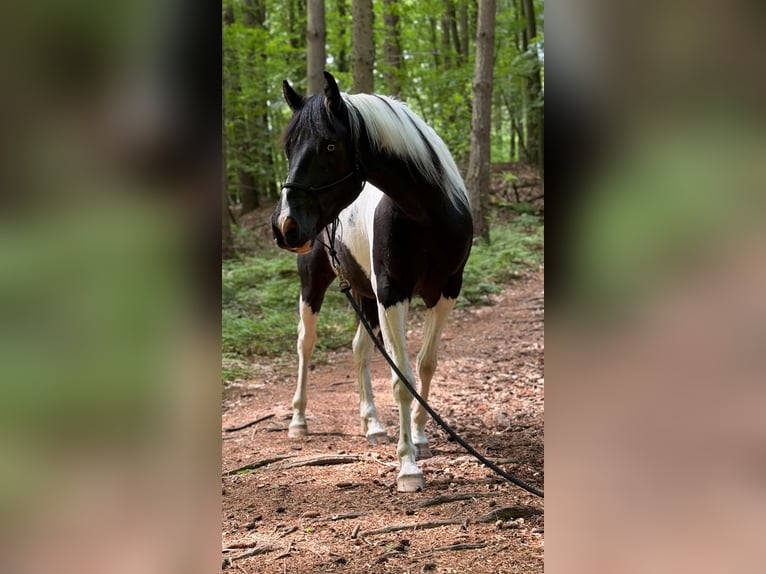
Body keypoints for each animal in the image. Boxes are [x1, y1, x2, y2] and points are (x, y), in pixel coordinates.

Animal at [271, 71, 473, 492]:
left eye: (330, 145)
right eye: (289, 147)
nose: (284, 225)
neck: (429, 215)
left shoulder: (446, 292)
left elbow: (425, 365)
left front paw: (421, 438)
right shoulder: (392, 294)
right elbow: (401, 378)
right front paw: (408, 466)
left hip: (364, 293)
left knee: (360, 349)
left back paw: (374, 425)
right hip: (316, 285)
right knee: (305, 345)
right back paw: (299, 421)